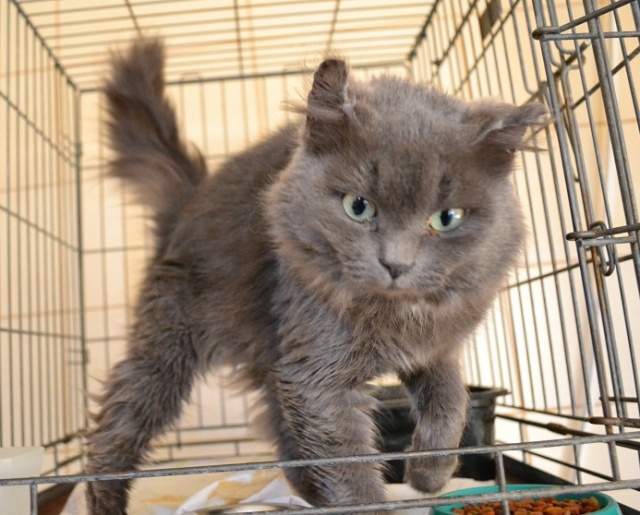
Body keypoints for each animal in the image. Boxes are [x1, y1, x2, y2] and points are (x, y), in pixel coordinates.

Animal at [85, 37, 546, 514]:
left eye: (446, 218)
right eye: (358, 207)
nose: (396, 264)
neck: (395, 316)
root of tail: (191, 199)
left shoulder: (434, 348)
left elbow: (452, 401)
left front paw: (428, 475)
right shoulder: (318, 375)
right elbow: (350, 468)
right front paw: (379, 499)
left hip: (272, 357)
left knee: (287, 440)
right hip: (170, 342)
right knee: (114, 431)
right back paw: (107, 502)